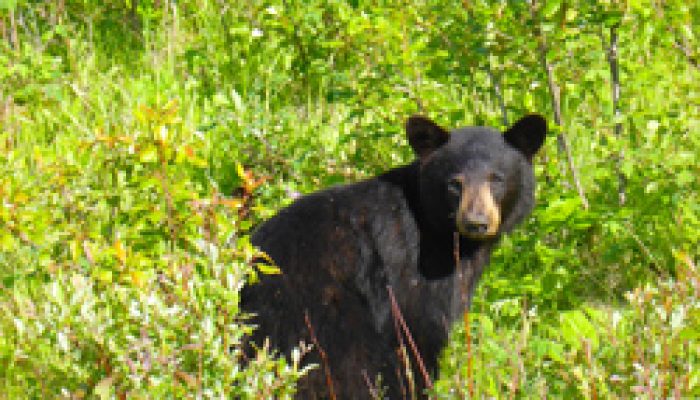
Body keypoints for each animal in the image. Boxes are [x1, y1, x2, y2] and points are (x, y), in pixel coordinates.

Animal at [241, 114, 548, 398]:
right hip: (320, 319)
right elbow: (417, 333)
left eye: (496, 179)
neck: (438, 230)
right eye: (454, 183)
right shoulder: (410, 269)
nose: (476, 222)